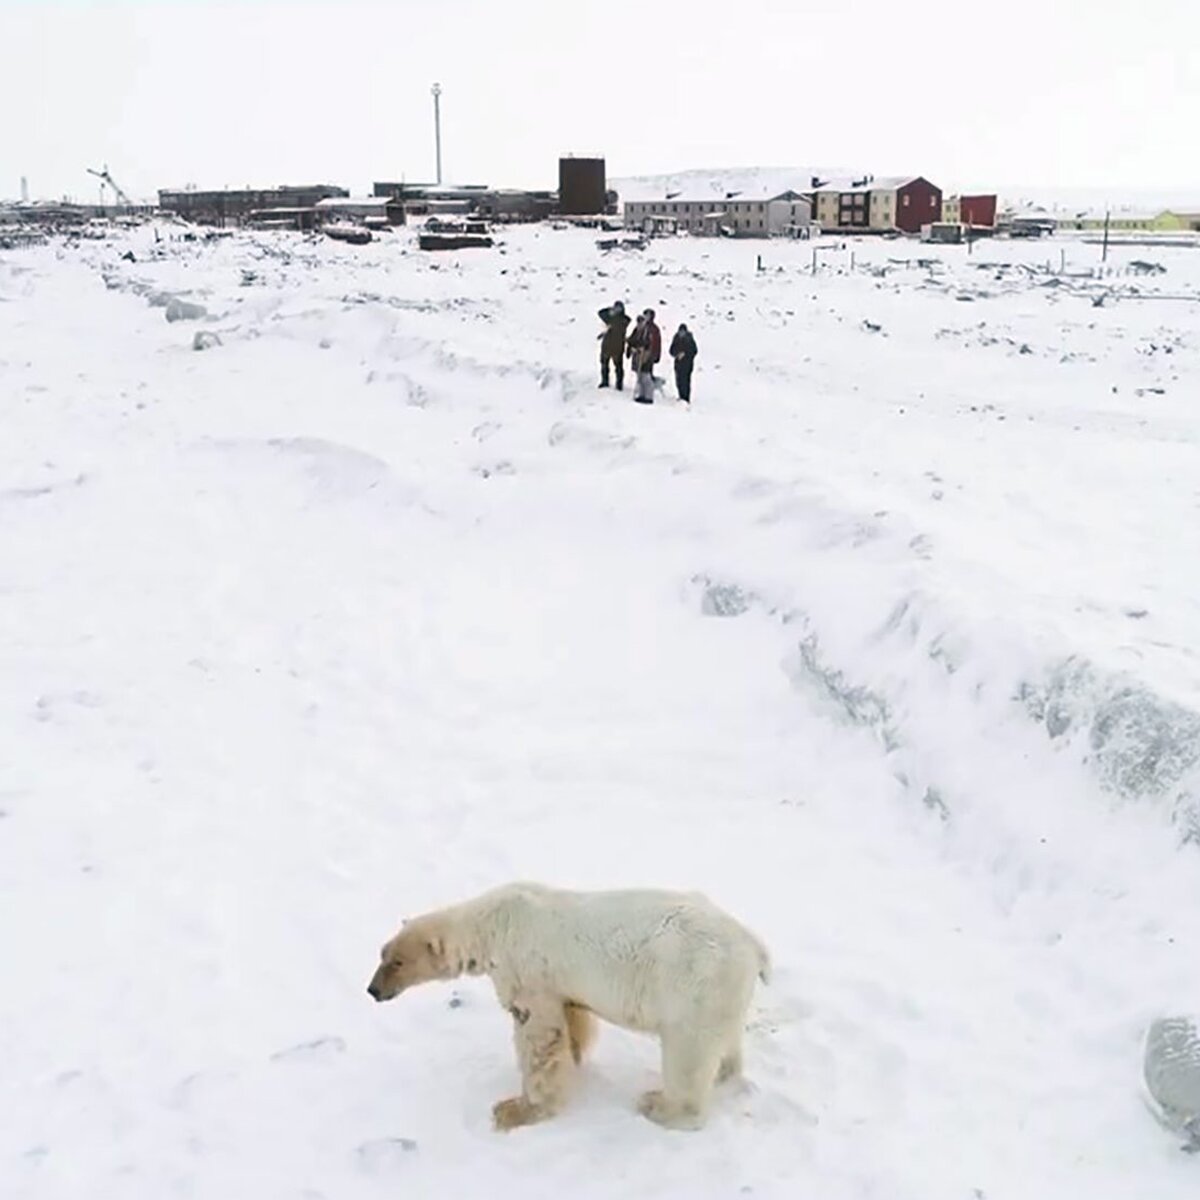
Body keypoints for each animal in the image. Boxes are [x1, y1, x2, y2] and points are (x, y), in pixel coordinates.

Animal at [364, 883, 772, 1123]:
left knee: (687, 1052)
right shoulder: (560, 983)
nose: (372, 990)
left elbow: (538, 1032)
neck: (492, 922)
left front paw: (516, 1109)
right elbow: (572, 1016)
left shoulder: (525, 967)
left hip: (692, 982)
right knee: (723, 1040)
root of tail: (754, 944)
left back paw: (659, 1105)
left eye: (396, 962)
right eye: (382, 954)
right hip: (721, 992)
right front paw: (574, 1057)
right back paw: (723, 1074)